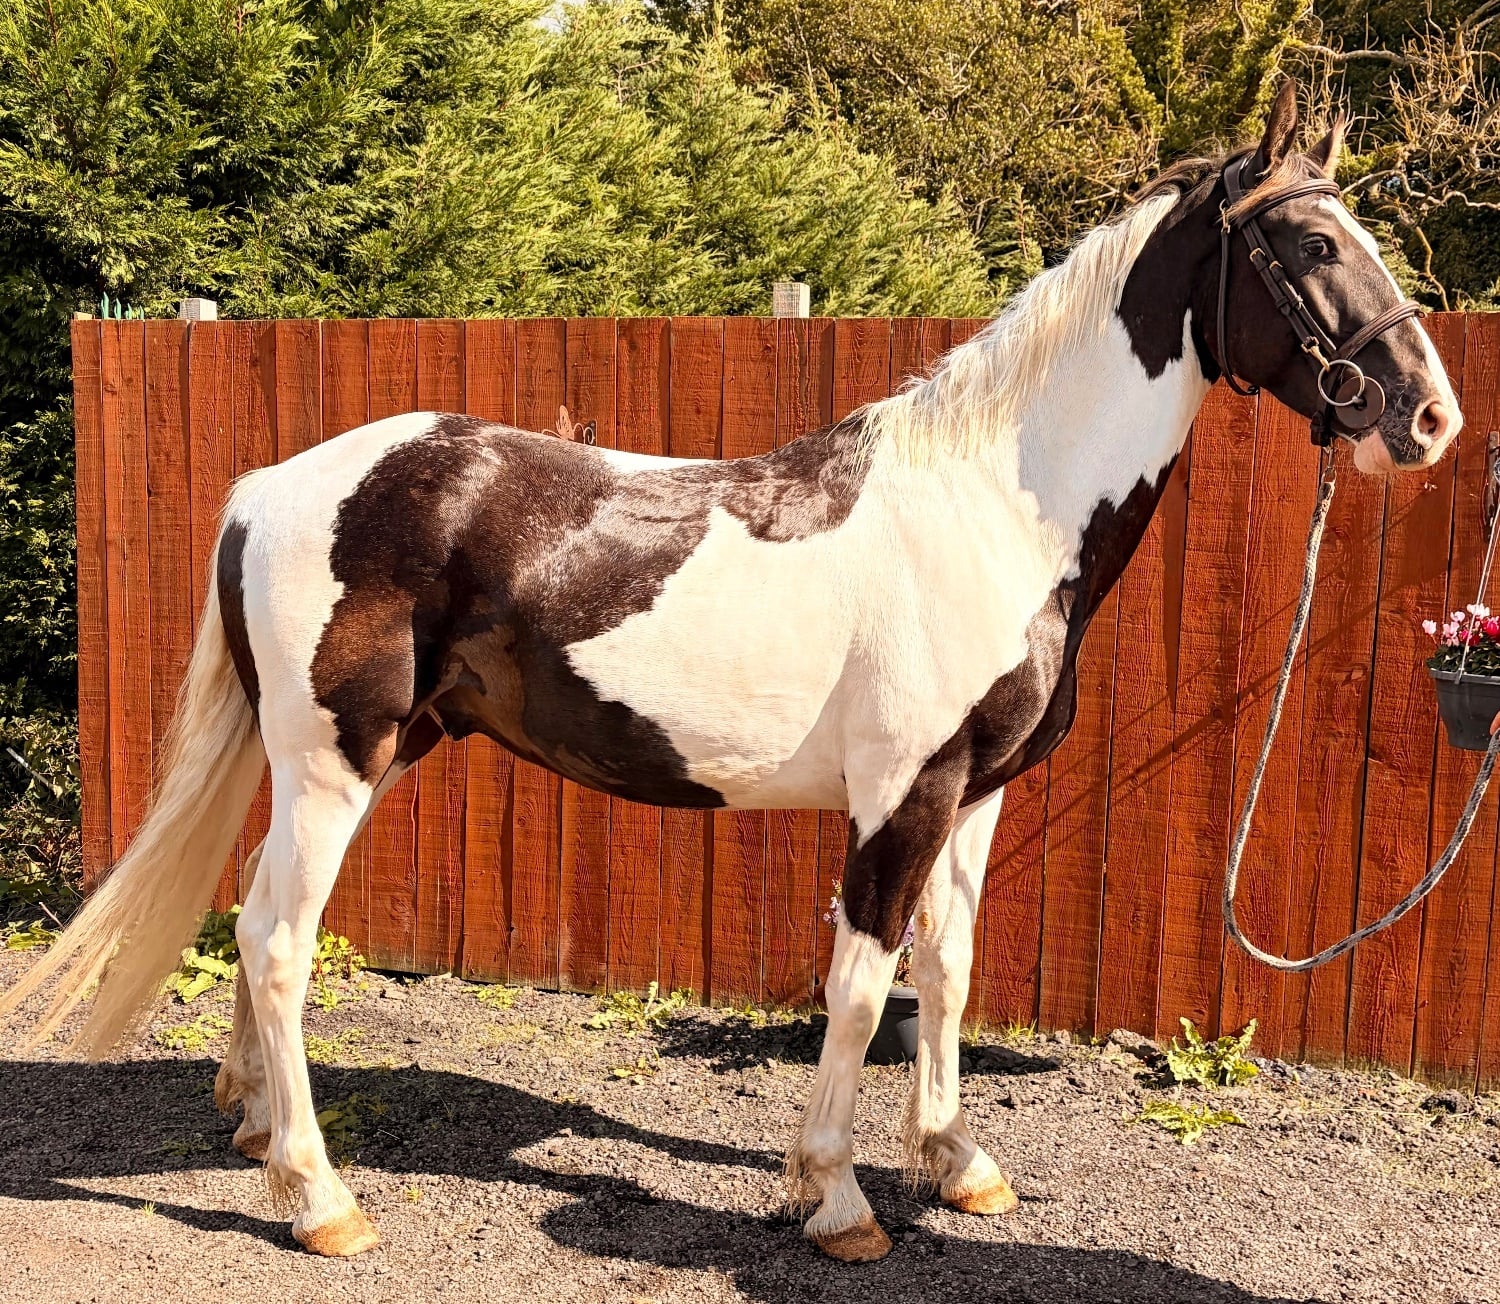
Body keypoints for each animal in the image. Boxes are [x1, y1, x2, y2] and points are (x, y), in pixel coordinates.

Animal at [1, 80, 1461, 1262]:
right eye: (1312, 244)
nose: (1429, 417)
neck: (998, 503)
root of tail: (271, 487)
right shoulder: (901, 795)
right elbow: (863, 985)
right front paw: (838, 1199)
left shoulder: (977, 794)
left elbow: (951, 966)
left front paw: (958, 1163)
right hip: (331, 764)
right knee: (277, 941)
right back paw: (320, 1200)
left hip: (355, 754)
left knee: (254, 921)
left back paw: (256, 1133)